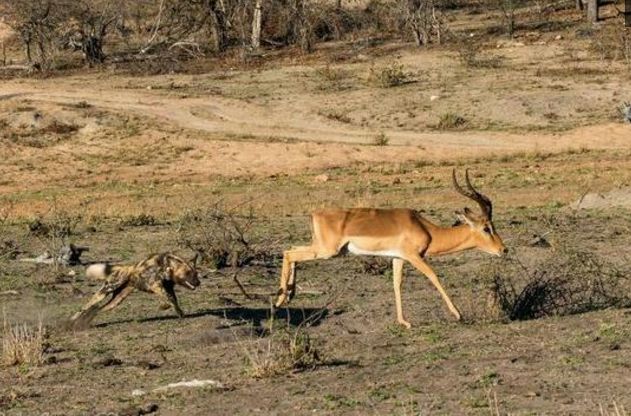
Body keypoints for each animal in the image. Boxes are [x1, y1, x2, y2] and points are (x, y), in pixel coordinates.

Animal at [70, 252, 201, 326]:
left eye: (195, 274)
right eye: (187, 273)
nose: (198, 283)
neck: (165, 266)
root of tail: (124, 268)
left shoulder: (168, 288)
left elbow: (173, 301)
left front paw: (180, 314)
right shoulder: (155, 285)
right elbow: (167, 300)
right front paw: (164, 306)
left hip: (116, 301)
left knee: (97, 309)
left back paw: (86, 320)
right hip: (104, 292)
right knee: (84, 307)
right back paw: (72, 321)